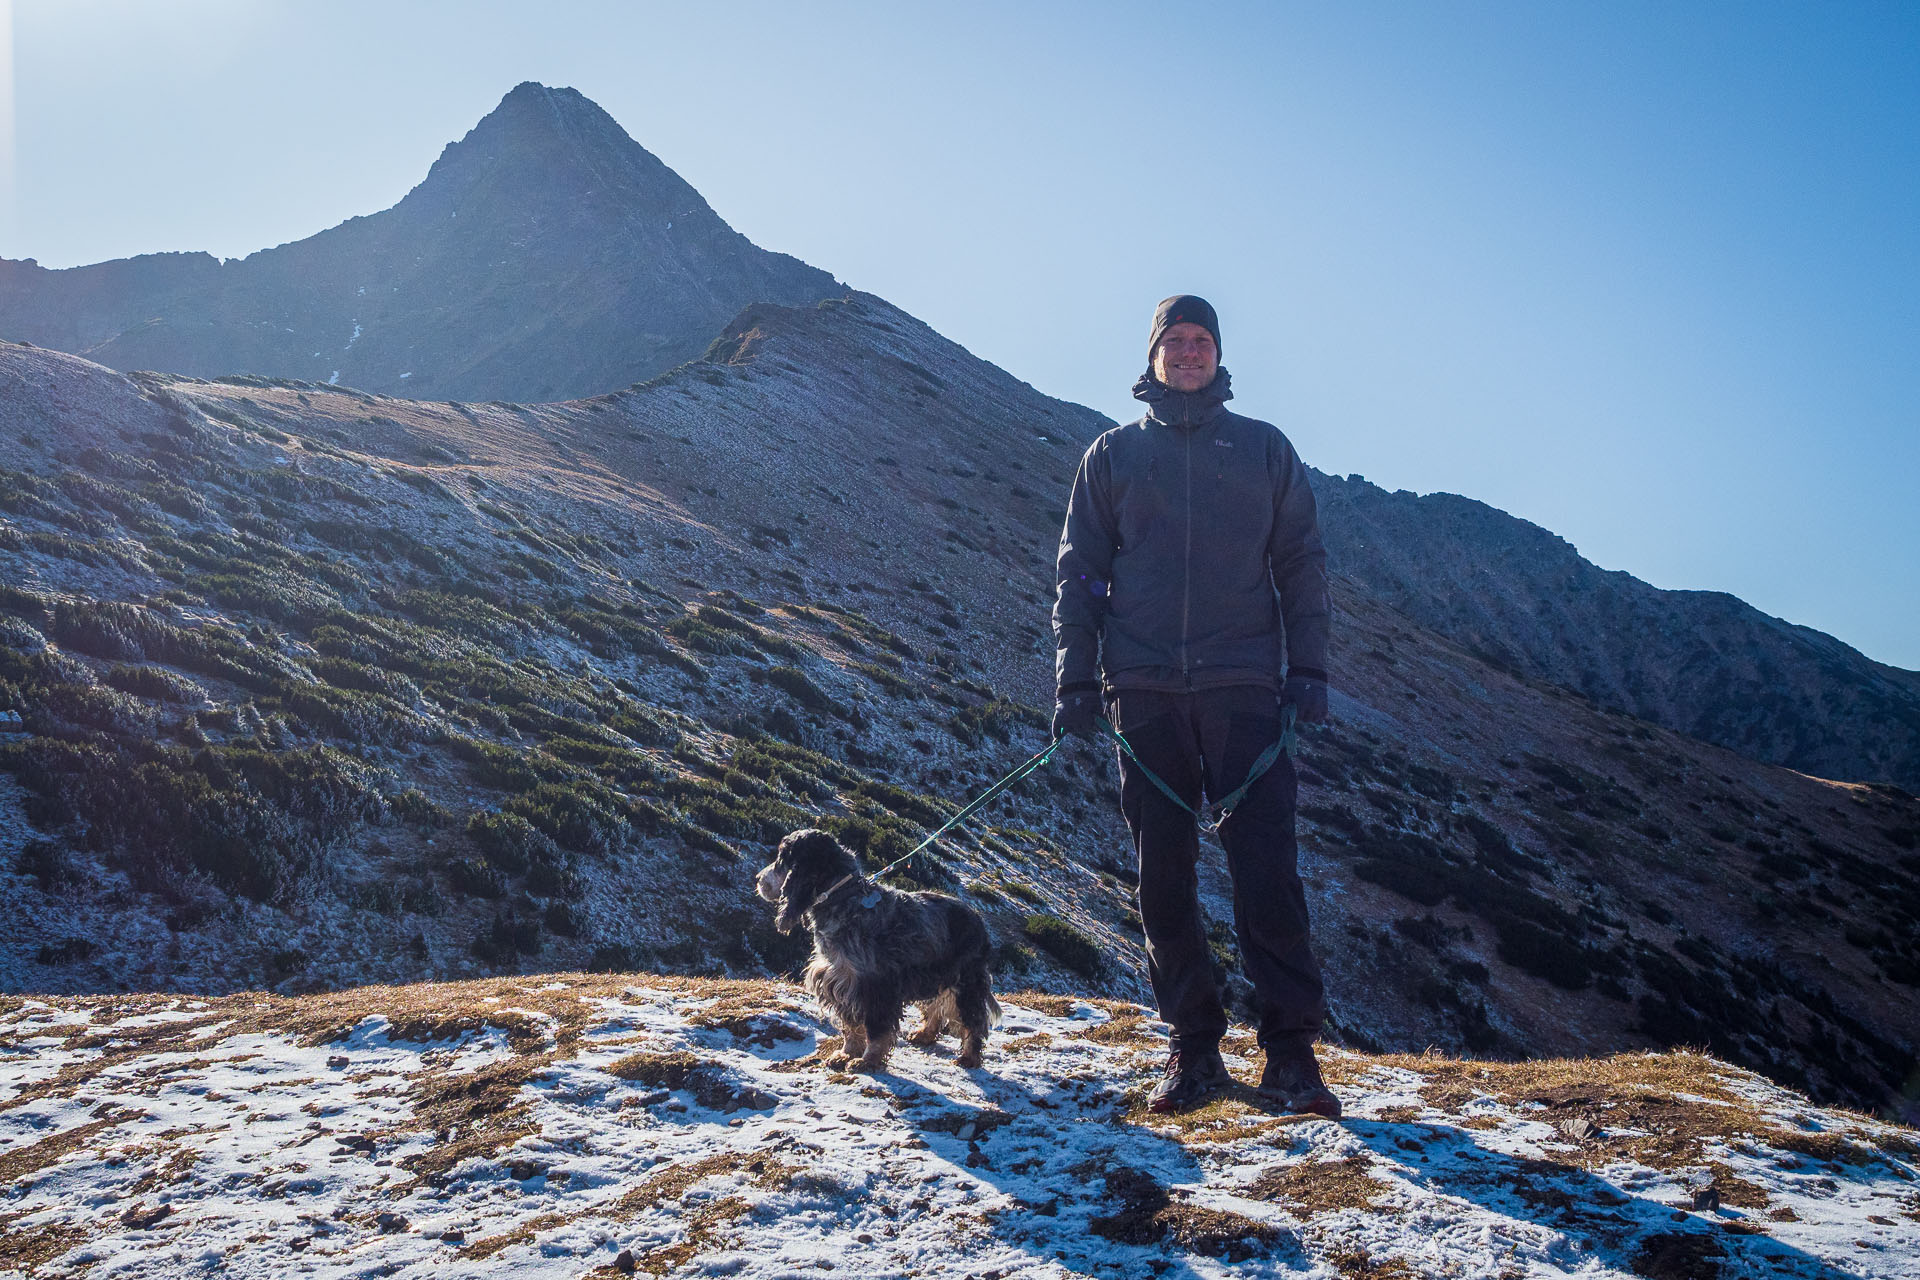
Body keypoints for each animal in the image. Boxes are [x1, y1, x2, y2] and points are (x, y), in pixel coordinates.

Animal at [752, 832, 1006, 1074]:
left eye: (781, 859)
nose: (758, 879)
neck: (844, 899)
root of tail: (978, 919)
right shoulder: (842, 983)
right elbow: (851, 1026)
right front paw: (846, 1054)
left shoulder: (875, 987)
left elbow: (876, 1031)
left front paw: (867, 1061)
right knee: (936, 1006)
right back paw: (925, 1034)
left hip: (967, 981)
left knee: (974, 1020)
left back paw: (969, 1057)